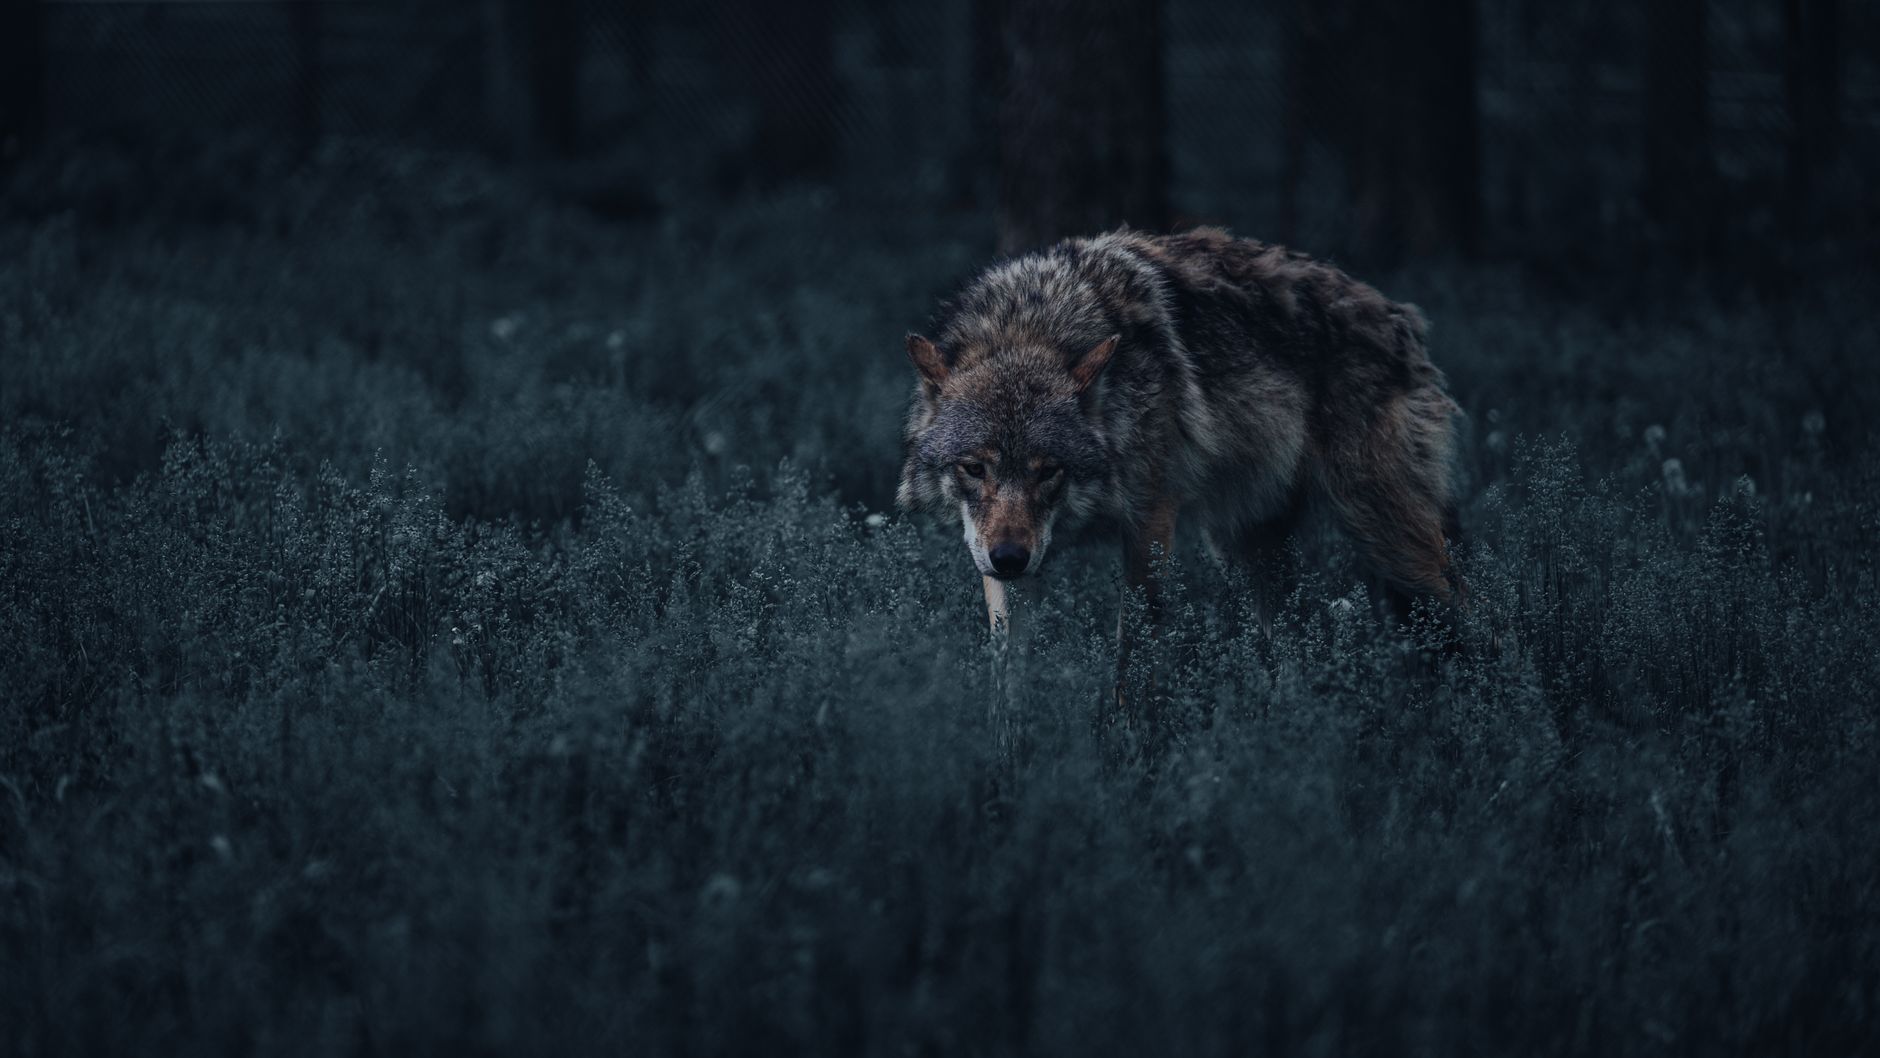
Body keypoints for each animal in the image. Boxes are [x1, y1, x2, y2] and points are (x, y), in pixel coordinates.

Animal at [896, 227, 1463, 641]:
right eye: (974, 468)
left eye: (1049, 471)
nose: (1010, 558)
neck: (1033, 326)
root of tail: (1402, 317)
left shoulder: (1151, 527)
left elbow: (1133, 672)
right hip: (1246, 550)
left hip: (1390, 544)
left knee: (1464, 612)